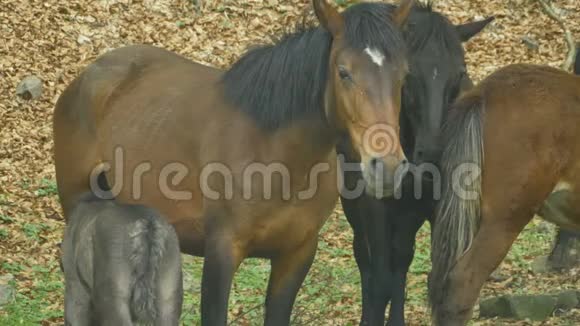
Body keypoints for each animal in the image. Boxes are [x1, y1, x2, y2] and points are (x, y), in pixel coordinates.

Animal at [338, 3, 492, 326]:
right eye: (408, 75)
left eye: (460, 72)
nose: (432, 152)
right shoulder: (374, 207)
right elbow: (378, 277)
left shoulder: (437, 207)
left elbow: (437, 277)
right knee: (366, 260)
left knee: (401, 258)